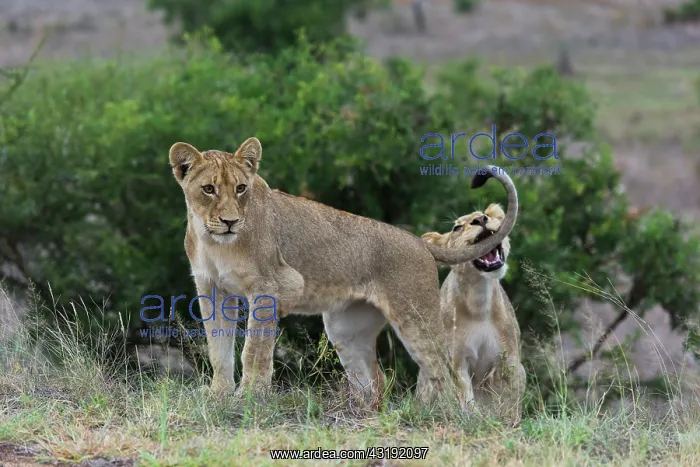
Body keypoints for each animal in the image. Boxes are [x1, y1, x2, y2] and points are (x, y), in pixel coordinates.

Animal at [168, 136, 518, 406]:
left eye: (241, 188)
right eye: (208, 189)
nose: (230, 221)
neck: (214, 242)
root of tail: (419, 242)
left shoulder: (276, 285)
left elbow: (254, 349)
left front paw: (250, 396)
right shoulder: (212, 289)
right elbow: (218, 347)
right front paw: (218, 394)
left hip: (415, 317)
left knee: (442, 371)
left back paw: (445, 415)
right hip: (345, 330)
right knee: (375, 379)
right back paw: (361, 411)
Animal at [422, 202, 526, 424]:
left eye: (485, 215)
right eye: (457, 228)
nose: (481, 220)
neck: (479, 300)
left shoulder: (510, 359)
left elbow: (510, 397)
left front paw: (510, 422)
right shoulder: (456, 360)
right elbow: (465, 395)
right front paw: (474, 419)